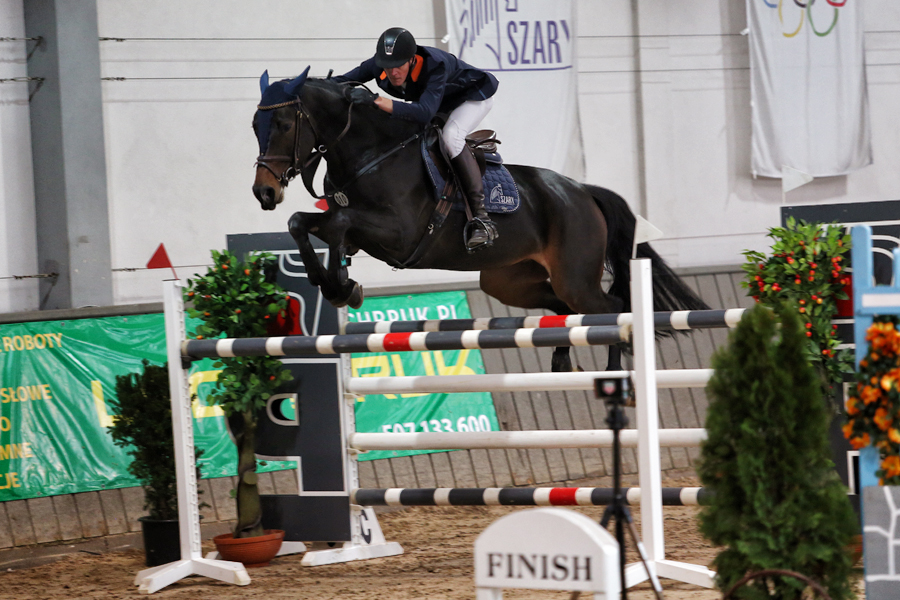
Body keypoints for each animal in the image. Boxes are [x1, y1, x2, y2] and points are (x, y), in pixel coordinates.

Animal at [251, 68, 708, 372]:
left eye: (285, 123)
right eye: (256, 124)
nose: (264, 193)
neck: (370, 150)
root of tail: (582, 191)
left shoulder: (399, 235)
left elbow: (339, 225)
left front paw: (343, 286)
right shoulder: (360, 229)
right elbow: (302, 223)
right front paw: (337, 283)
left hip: (575, 277)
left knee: (610, 308)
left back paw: (614, 375)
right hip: (508, 280)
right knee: (563, 309)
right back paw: (561, 359)